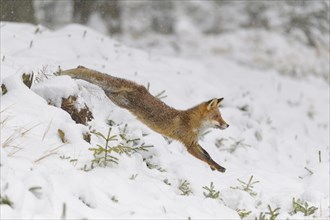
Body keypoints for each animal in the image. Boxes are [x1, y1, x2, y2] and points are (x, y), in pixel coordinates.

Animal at [60, 65, 229, 172]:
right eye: (217, 117)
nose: (227, 125)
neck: (194, 125)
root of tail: (138, 87)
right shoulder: (189, 144)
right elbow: (206, 158)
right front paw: (219, 168)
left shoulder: (195, 141)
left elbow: (208, 154)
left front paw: (214, 167)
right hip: (120, 100)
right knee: (100, 84)